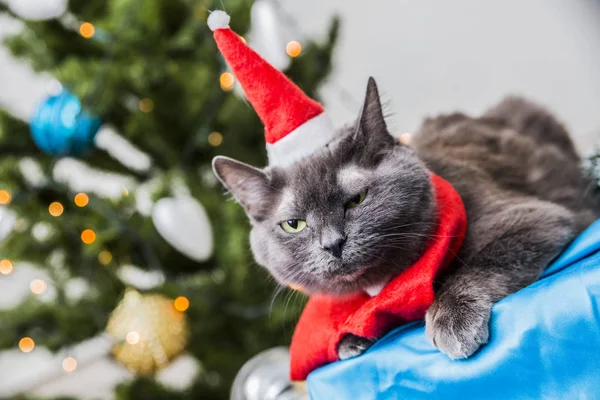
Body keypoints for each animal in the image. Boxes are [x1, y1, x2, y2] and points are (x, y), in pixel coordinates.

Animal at [212, 78, 600, 360]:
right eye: (294, 224)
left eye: (356, 199)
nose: (333, 244)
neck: (389, 283)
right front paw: (350, 339)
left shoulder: (535, 219)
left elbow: (484, 262)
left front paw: (451, 319)